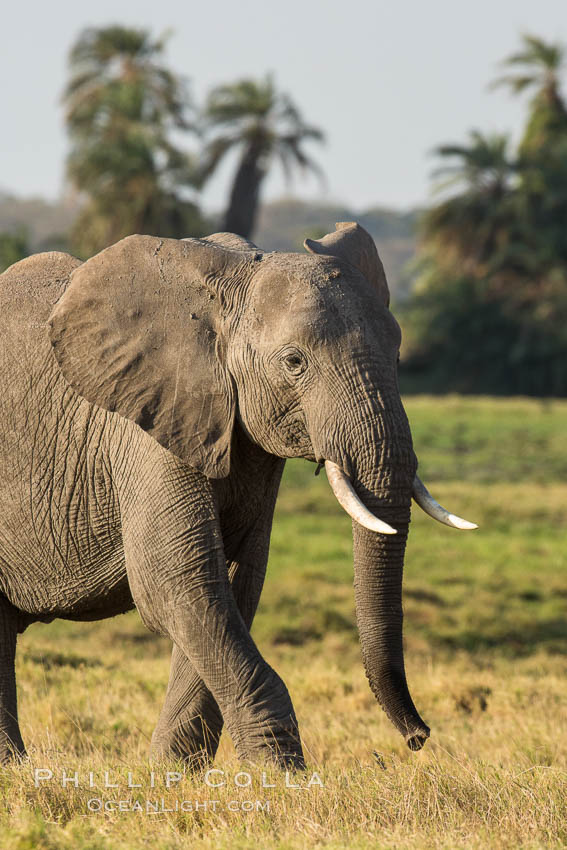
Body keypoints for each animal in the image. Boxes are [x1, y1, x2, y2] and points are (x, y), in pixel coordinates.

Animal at [0, 222, 474, 764]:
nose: (419, 737)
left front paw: (173, 771)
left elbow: (232, 582)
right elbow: (176, 583)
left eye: (397, 354)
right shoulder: (147, 426)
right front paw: (280, 773)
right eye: (294, 361)